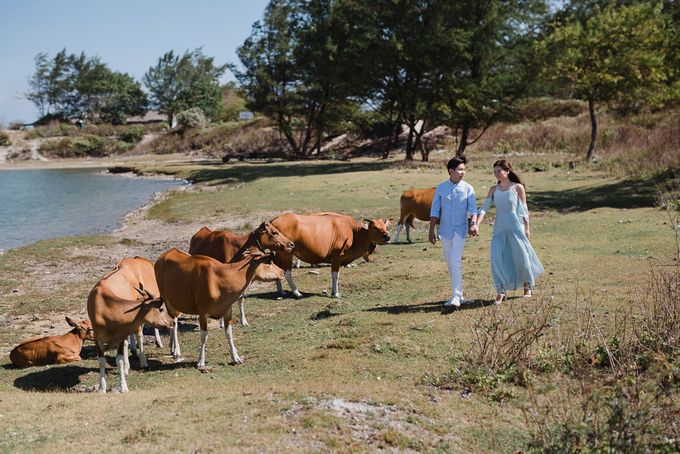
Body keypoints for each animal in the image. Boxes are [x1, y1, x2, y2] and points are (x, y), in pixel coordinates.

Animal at [87, 262, 175, 394]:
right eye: (161, 309)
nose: (172, 322)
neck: (105, 307)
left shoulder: (120, 336)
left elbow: (119, 360)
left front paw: (123, 387)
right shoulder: (98, 338)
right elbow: (102, 361)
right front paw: (102, 388)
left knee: (138, 336)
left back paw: (143, 362)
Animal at [156, 245, 284, 368]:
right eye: (269, 262)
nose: (282, 272)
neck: (221, 278)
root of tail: (162, 257)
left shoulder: (227, 310)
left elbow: (229, 333)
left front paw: (236, 358)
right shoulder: (203, 313)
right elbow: (204, 336)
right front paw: (201, 362)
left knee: (174, 323)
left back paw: (172, 348)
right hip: (167, 301)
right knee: (174, 324)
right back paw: (177, 352)